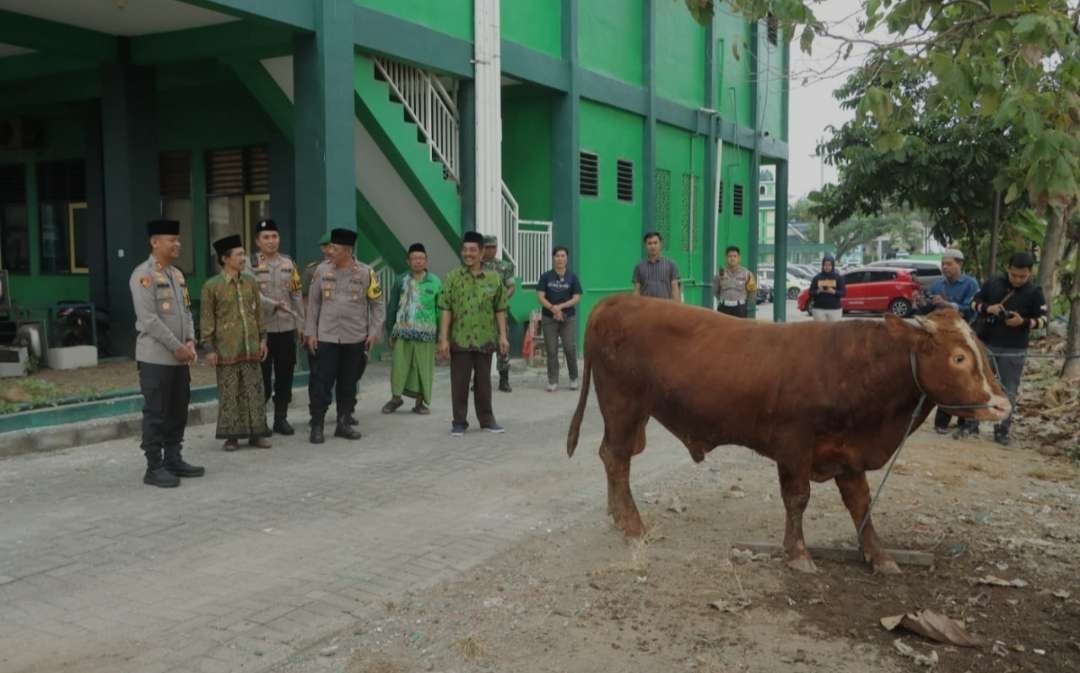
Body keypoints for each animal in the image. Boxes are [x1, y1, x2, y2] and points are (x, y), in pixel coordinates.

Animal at [565, 293, 1010, 574]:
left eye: (983, 350)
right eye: (958, 357)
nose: (1002, 405)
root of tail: (615, 301)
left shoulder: (849, 453)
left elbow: (861, 505)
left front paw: (879, 555)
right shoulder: (794, 445)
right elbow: (797, 498)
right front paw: (797, 553)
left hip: (633, 414)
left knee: (616, 456)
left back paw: (618, 515)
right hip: (622, 407)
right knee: (616, 458)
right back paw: (631, 523)